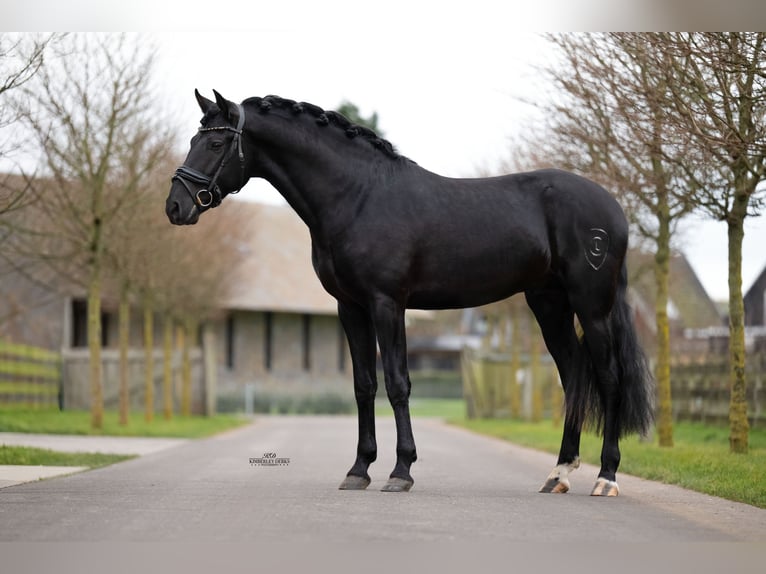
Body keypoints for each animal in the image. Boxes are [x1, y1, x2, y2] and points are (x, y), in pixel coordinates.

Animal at [166, 90, 654, 496]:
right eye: (194, 138)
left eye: (215, 144)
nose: (176, 206)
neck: (359, 196)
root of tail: (614, 209)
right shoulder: (351, 307)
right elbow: (364, 385)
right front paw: (358, 470)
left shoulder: (387, 303)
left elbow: (398, 382)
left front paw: (401, 471)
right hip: (549, 304)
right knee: (573, 376)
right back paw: (559, 473)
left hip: (591, 305)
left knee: (608, 377)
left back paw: (606, 477)